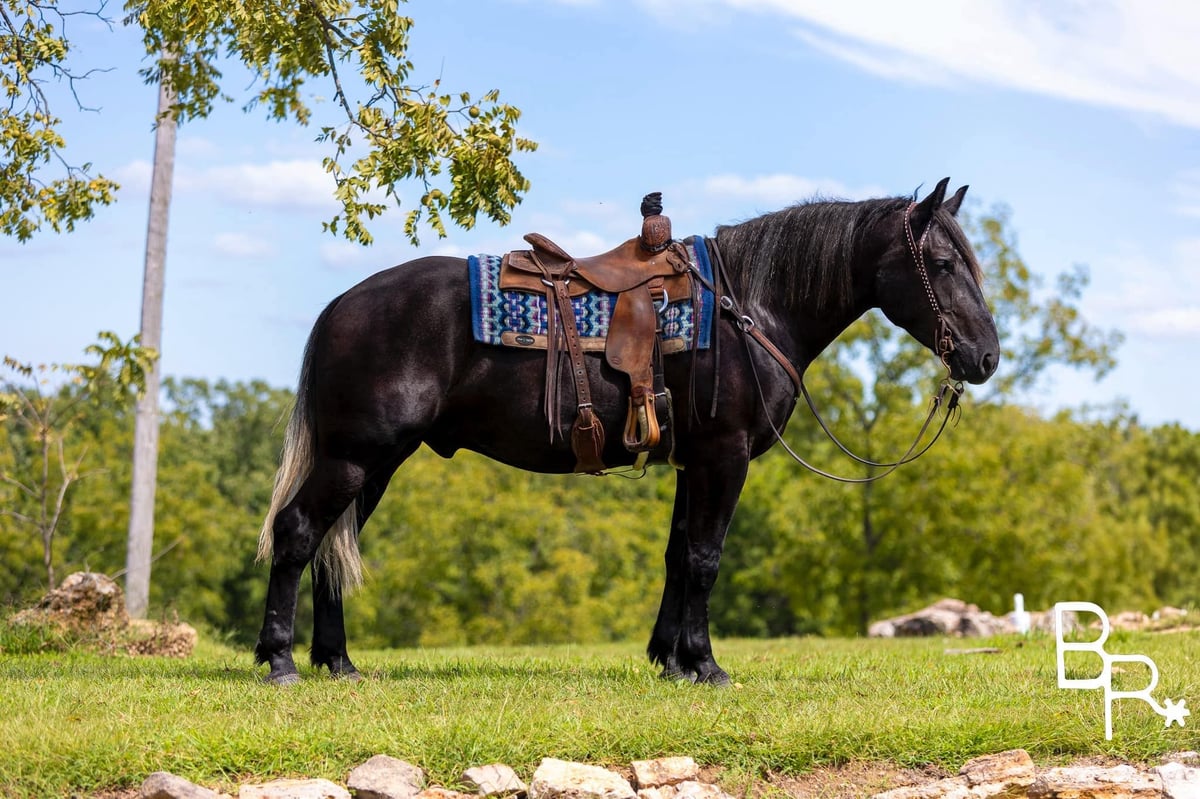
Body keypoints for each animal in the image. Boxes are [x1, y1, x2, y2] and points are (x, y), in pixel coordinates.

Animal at [254, 177, 1000, 685]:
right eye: (942, 264)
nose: (986, 356)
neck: (750, 308)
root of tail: (343, 303)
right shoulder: (724, 456)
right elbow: (705, 558)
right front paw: (706, 664)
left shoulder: (692, 461)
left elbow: (678, 555)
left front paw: (670, 660)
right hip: (356, 455)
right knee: (298, 531)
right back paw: (281, 659)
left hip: (374, 464)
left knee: (329, 547)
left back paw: (338, 660)